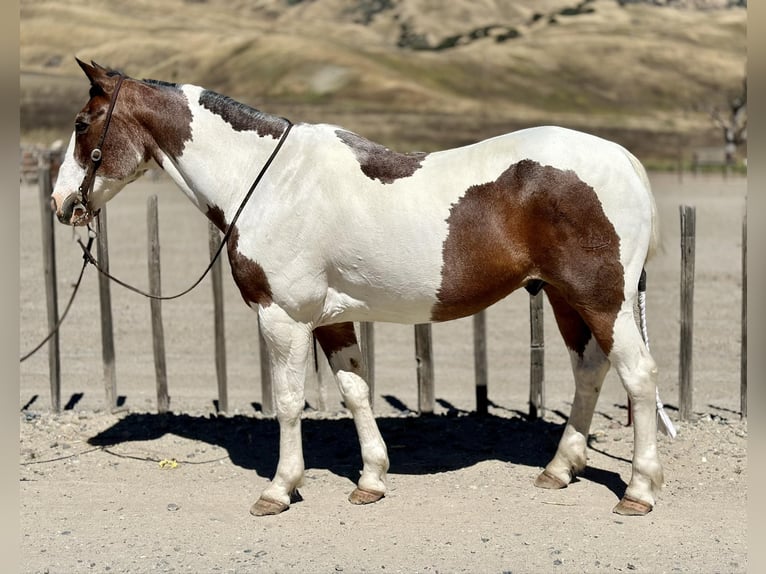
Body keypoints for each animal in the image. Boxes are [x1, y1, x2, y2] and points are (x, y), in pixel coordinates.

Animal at [51, 59, 667, 517]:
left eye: (82, 124)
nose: (60, 203)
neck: (270, 179)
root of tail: (624, 159)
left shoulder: (282, 317)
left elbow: (289, 401)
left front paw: (279, 488)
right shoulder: (331, 318)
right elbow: (355, 391)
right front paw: (371, 479)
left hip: (601, 300)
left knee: (637, 377)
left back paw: (638, 490)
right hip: (565, 298)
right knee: (590, 372)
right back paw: (559, 470)